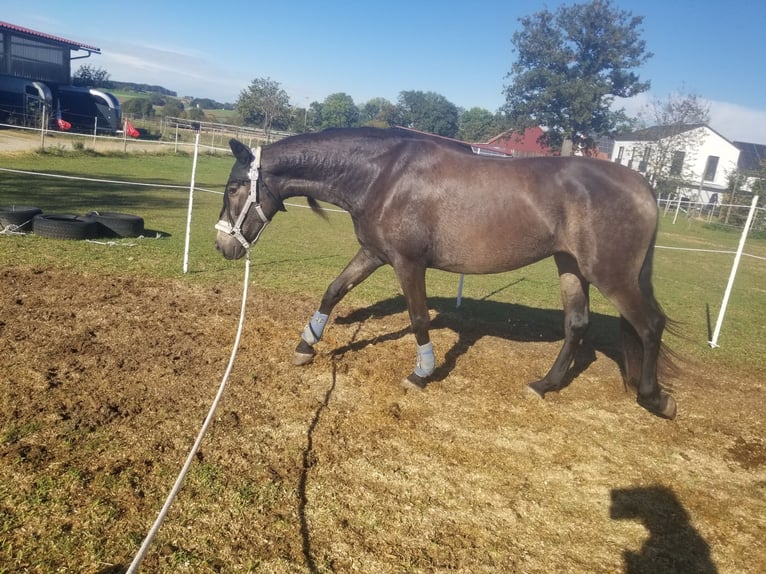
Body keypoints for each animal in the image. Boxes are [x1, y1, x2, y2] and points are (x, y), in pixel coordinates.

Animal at [214, 128, 680, 420]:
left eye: (235, 188)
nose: (223, 246)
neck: (382, 176)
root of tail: (643, 186)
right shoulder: (374, 253)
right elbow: (334, 291)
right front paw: (305, 345)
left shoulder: (408, 263)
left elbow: (418, 317)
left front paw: (422, 373)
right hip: (570, 266)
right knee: (578, 325)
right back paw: (544, 385)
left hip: (611, 275)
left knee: (650, 325)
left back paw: (655, 399)